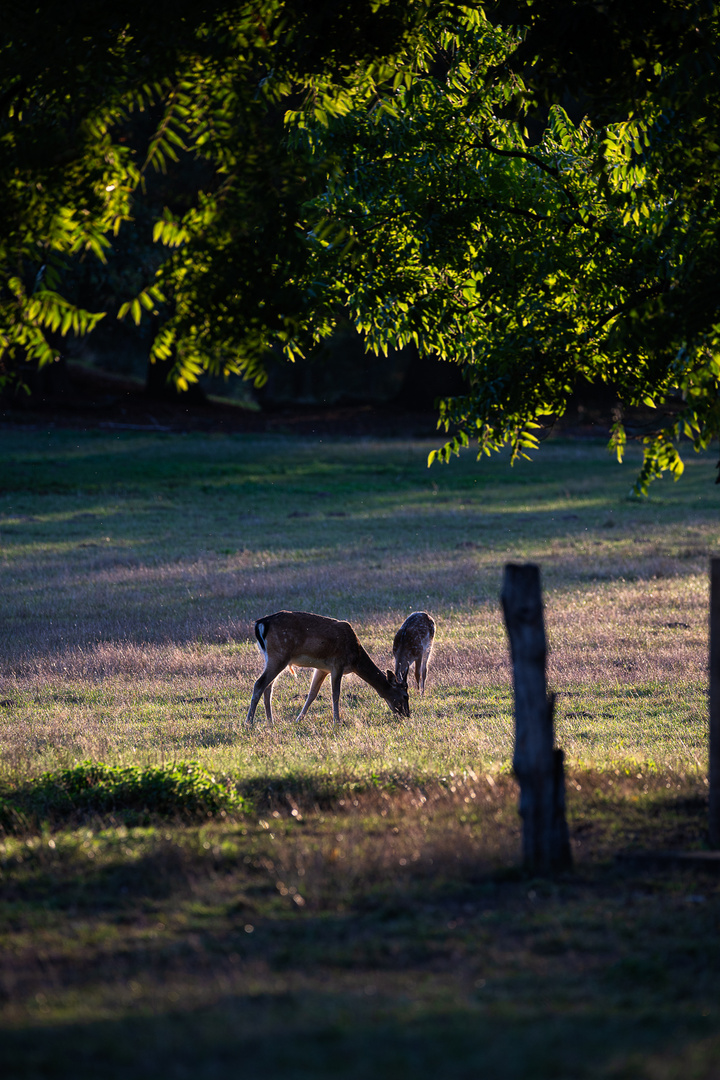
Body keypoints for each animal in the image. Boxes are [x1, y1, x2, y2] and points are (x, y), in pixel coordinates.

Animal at [243, 613, 408, 730]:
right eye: (405, 696)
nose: (407, 714)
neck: (356, 659)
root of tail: (260, 624)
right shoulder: (338, 664)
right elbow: (335, 694)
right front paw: (337, 721)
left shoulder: (322, 669)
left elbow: (312, 694)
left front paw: (298, 720)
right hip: (279, 654)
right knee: (259, 684)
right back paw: (248, 723)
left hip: (271, 657)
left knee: (268, 687)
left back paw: (270, 722)